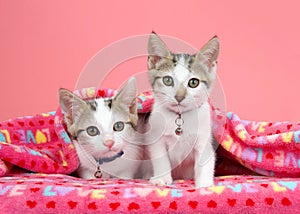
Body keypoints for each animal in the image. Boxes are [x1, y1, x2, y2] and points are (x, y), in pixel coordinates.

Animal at [146, 32, 219, 187]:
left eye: (193, 82)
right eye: (168, 80)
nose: (179, 96)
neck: (179, 117)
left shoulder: (204, 138)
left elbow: (205, 159)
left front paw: (204, 183)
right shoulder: (155, 138)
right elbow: (160, 158)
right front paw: (162, 177)